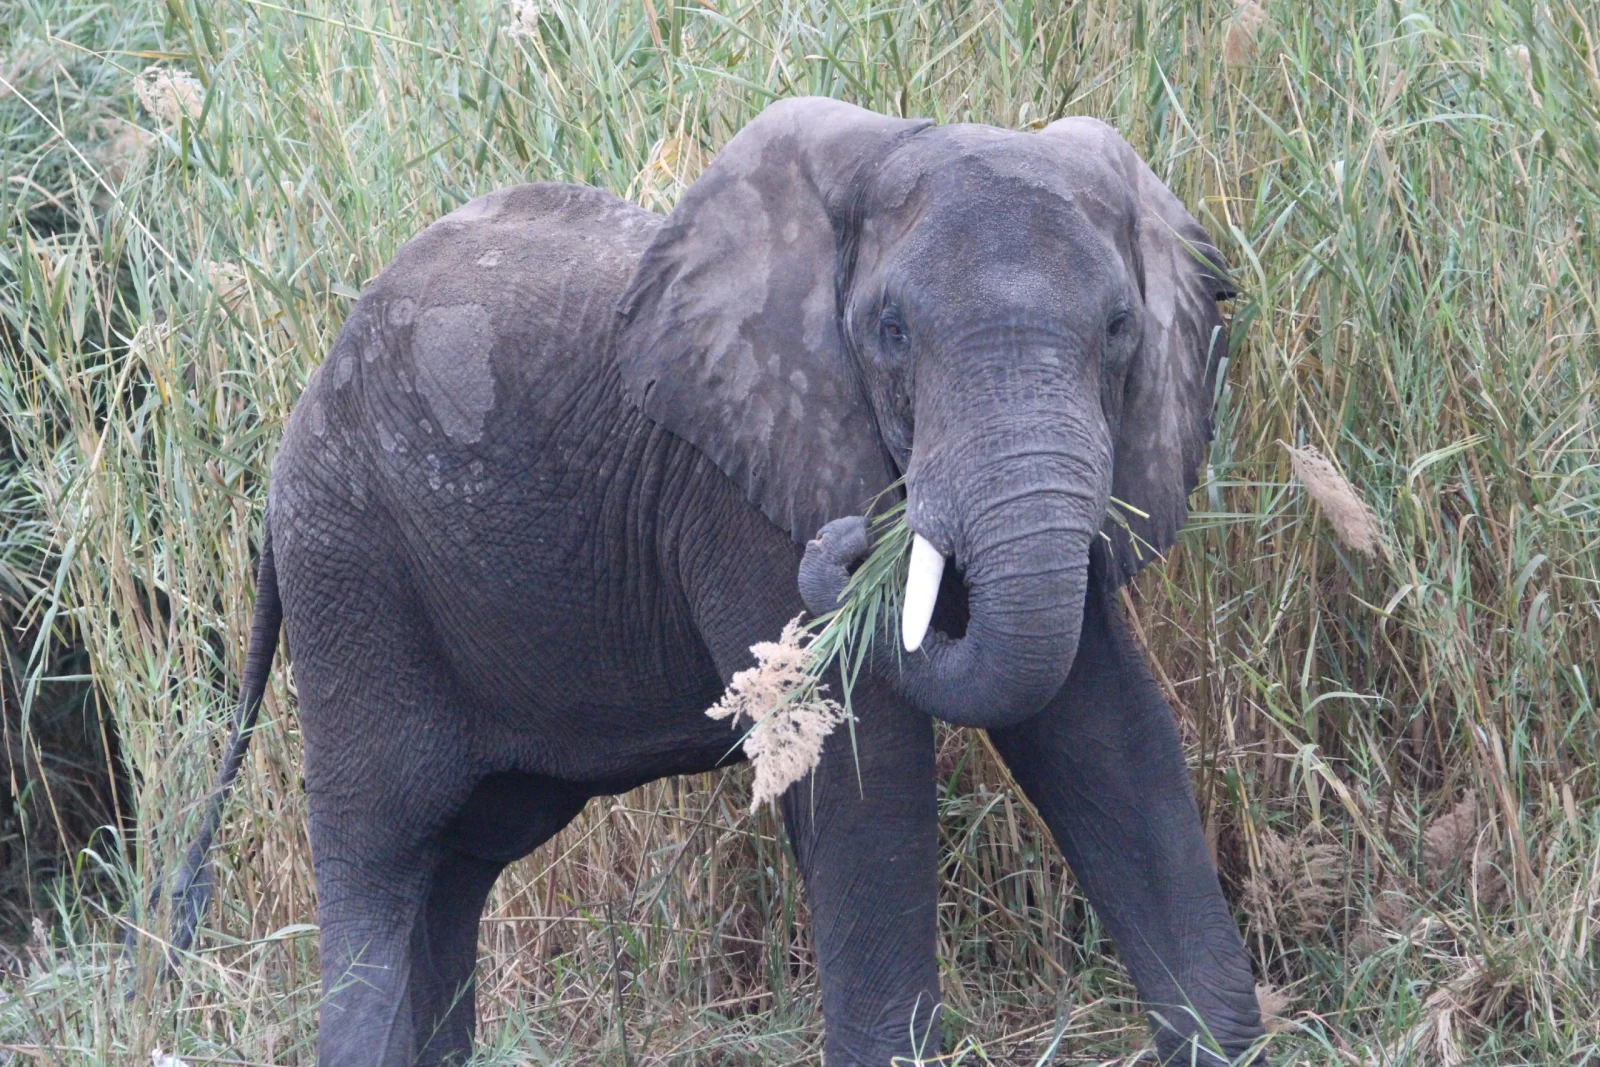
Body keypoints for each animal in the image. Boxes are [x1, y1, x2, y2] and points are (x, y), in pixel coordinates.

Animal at [157, 97, 1263, 1065]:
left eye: (1119, 327)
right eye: (892, 331)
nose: (856, 540)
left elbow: (1107, 729)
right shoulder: (739, 489)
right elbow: (855, 764)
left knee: (458, 862)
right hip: (352, 573)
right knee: (385, 850)